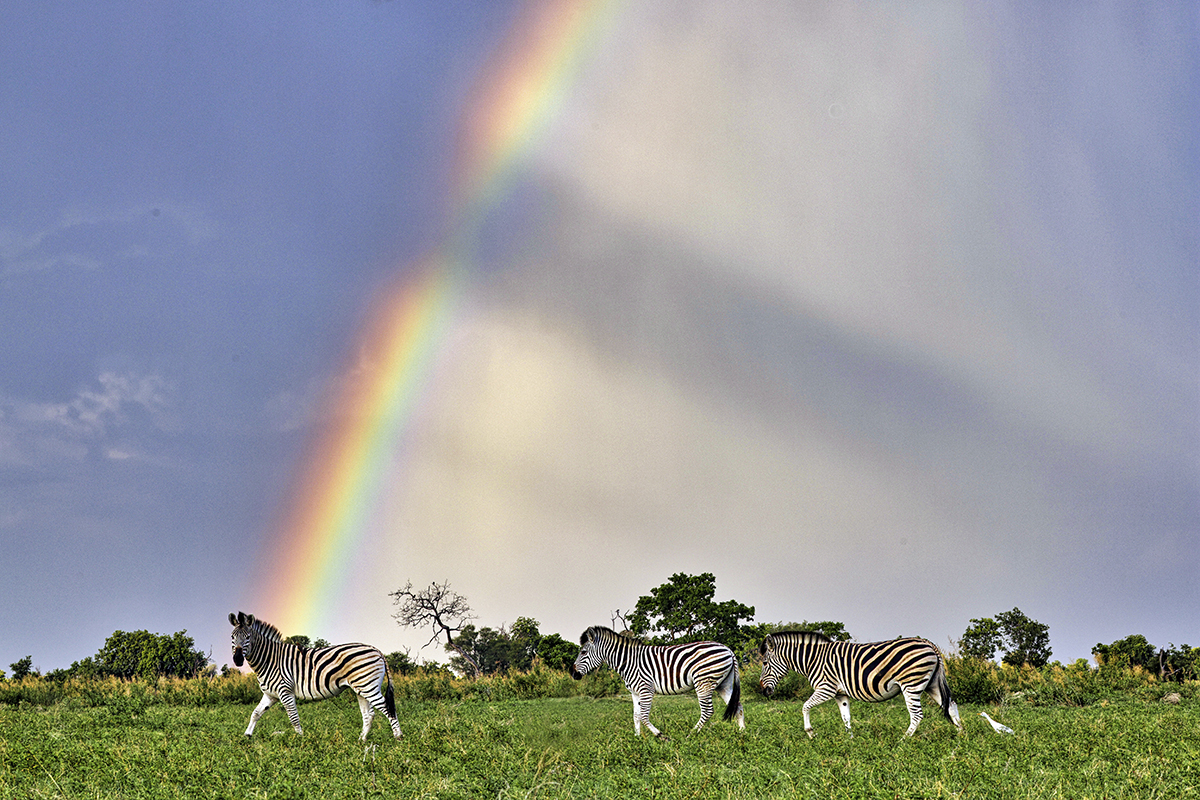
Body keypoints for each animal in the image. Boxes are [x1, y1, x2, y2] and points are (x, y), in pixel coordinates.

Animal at [228, 611, 402, 741]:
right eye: (232, 637)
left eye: (248, 637)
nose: (237, 659)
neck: (270, 659)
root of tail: (376, 649)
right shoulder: (271, 694)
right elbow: (255, 713)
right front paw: (247, 735)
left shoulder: (285, 691)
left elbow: (293, 717)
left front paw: (300, 740)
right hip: (361, 688)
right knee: (369, 715)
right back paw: (361, 740)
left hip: (367, 686)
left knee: (387, 708)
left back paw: (398, 738)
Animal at [570, 625, 744, 739]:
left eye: (583, 652)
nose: (573, 674)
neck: (629, 662)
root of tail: (728, 649)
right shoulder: (634, 692)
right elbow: (636, 715)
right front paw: (637, 739)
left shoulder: (646, 689)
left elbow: (644, 716)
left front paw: (661, 736)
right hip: (723, 684)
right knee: (738, 706)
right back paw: (742, 734)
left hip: (704, 682)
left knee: (708, 711)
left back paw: (690, 736)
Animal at [758, 630, 963, 738]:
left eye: (765, 663)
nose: (763, 691)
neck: (813, 659)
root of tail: (929, 644)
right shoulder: (840, 693)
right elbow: (846, 717)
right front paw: (850, 740)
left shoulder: (826, 688)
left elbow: (805, 706)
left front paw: (810, 733)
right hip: (931, 685)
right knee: (951, 705)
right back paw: (961, 738)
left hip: (911, 684)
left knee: (917, 715)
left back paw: (902, 742)